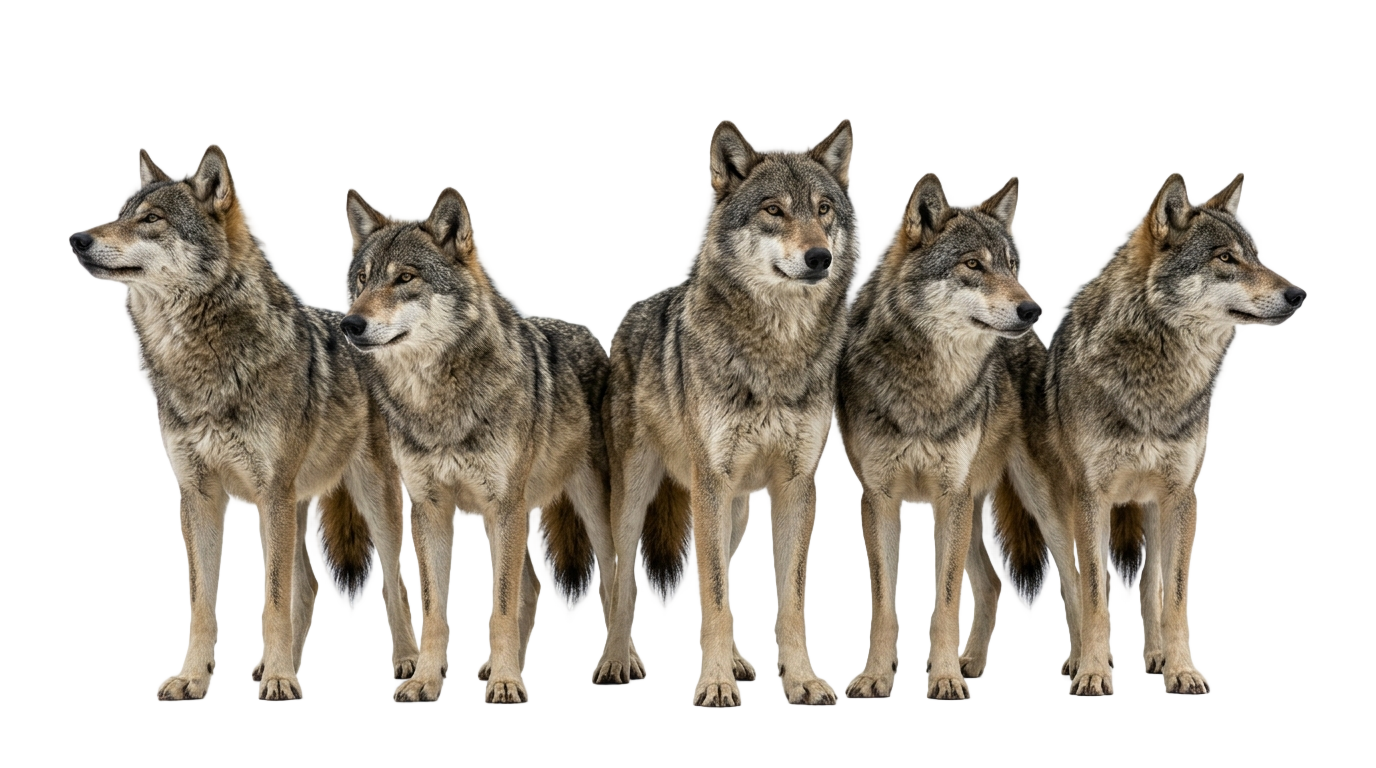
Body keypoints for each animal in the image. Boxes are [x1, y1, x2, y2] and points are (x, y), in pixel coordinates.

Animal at [67, 148, 419, 701]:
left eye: (151, 220)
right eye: (122, 213)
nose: (79, 239)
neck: (198, 362)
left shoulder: (271, 493)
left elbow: (271, 601)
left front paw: (279, 682)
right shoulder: (199, 493)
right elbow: (204, 603)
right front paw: (195, 677)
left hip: (367, 498)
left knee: (390, 584)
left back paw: (403, 662)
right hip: (294, 507)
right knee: (307, 587)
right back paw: (281, 663)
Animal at [341, 187, 624, 704]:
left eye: (405, 278)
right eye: (363, 280)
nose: (350, 324)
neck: (437, 402)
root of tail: (587, 333)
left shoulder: (502, 506)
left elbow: (501, 606)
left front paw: (508, 684)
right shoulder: (430, 506)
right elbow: (436, 608)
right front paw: (425, 680)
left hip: (589, 514)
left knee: (613, 583)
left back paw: (615, 662)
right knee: (530, 587)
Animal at [591, 120, 854, 707]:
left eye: (824, 208)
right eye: (774, 210)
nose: (819, 257)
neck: (777, 351)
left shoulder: (795, 484)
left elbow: (787, 600)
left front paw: (801, 679)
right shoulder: (711, 481)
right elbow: (712, 594)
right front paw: (713, 686)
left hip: (732, 510)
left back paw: (731, 661)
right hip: (637, 503)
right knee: (619, 585)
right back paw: (618, 662)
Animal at [837, 174, 1062, 699]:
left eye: (1011, 265)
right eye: (973, 264)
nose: (1031, 308)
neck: (928, 388)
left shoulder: (948, 497)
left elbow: (944, 600)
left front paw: (943, 679)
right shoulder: (879, 498)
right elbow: (885, 603)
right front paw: (876, 676)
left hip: (1038, 508)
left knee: (1081, 579)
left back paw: (1086, 668)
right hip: (975, 514)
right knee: (994, 584)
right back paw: (973, 663)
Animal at [1001, 173, 1306, 697]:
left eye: (1253, 255)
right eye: (1225, 258)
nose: (1297, 295)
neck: (1158, 382)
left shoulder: (1181, 496)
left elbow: (1175, 597)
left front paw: (1182, 669)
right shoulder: (1090, 500)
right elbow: (1094, 595)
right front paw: (1094, 673)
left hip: (1152, 510)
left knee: (1149, 586)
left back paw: (1157, 657)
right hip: (1054, 516)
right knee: (1070, 587)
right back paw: (1074, 659)